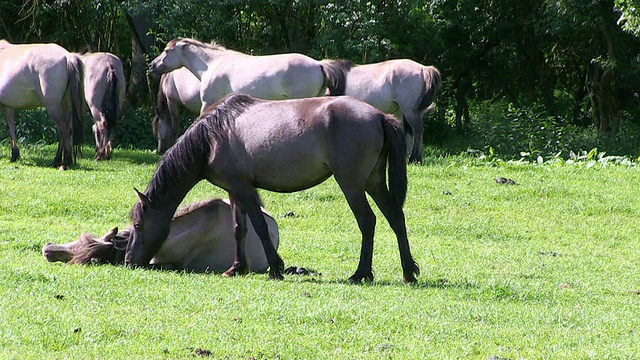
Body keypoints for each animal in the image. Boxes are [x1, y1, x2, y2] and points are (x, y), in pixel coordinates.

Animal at [0, 39, 84, 169]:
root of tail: (67, 56)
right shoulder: (8, 106)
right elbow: (11, 130)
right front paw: (14, 156)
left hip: (53, 106)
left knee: (64, 129)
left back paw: (65, 163)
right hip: (63, 104)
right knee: (63, 130)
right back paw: (56, 161)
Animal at [125, 93, 420, 284]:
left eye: (138, 225)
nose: (128, 261)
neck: (211, 137)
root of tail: (379, 115)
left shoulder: (245, 188)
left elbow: (259, 225)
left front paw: (275, 268)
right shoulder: (234, 190)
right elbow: (239, 228)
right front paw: (236, 268)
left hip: (351, 183)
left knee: (367, 221)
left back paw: (361, 274)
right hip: (373, 182)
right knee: (395, 216)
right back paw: (408, 271)